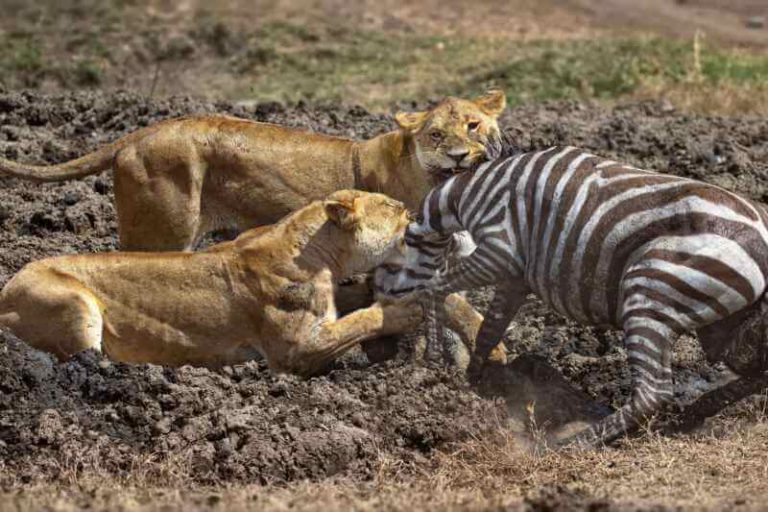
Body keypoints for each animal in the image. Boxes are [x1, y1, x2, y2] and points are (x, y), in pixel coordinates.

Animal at [0, 190, 490, 375]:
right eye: (394, 207)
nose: (417, 210)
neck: (320, 254)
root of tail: (6, 290)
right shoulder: (294, 352)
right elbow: (360, 321)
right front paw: (403, 311)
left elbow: (355, 302)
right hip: (74, 304)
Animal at [375, 145, 768, 447]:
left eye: (392, 256)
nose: (382, 296)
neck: (470, 192)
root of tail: (759, 237)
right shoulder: (515, 277)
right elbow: (490, 328)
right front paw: (473, 381)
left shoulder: (500, 253)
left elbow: (435, 286)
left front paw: (434, 359)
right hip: (728, 326)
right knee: (754, 372)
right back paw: (690, 416)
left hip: (651, 292)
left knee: (653, 392)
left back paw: (576, 443)